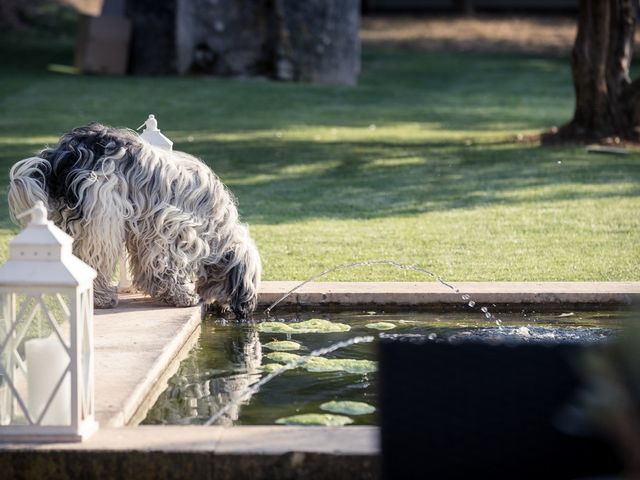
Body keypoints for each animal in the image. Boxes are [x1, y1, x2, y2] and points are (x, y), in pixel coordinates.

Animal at [6, 124, 262, 318]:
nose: (244, 310)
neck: (217, 226)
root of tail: (63, 154)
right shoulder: (172, 228)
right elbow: (165, 264)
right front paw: (182, 295)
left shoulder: (148, 231)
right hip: (102, 215)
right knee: (95, 258)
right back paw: (100, 298)